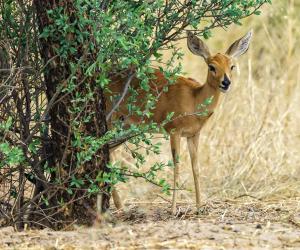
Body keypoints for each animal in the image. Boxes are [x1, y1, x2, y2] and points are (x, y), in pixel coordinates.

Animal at [108, 30, 253, 214]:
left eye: (232, 66)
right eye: (211, 66)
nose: (226, 83)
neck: (194, 98)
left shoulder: (193, 135)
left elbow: (195, 167)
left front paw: (199, 207)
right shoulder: (174, 132)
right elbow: (177, 167)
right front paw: (173, 208)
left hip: (124, 129)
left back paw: (119, 206)